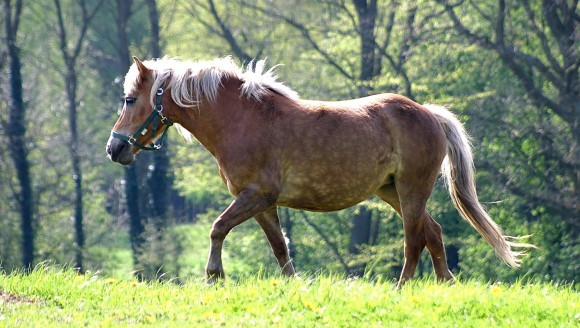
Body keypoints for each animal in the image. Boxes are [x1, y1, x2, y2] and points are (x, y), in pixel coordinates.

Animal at [106, 57, 532, 288]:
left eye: (129, 99)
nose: (115, 149)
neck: (241, 119)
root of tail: (428, 112)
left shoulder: (255, 195)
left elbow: (217, 228)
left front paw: (214, 275)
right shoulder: (262, 204)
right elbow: (280, 248)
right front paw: (295, 285)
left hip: (412, 190)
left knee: (413, 242)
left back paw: (402, 289)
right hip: (391, 191)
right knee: (433, 232)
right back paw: (445, 283)